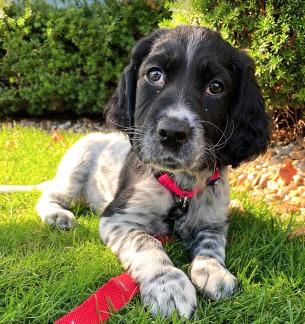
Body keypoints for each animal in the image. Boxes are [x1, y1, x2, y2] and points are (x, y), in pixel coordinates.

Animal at [1, 26, 268, 318]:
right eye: (154, 74)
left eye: (216, 87)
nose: (172, 133)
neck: (179, 186)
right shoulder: (118, 218)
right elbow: (148, 244)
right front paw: (169, 286)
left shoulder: (213, 219)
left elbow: (212, 243)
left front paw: (212, 270)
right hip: (75, 171)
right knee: (49, 195)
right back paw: (57, 215)